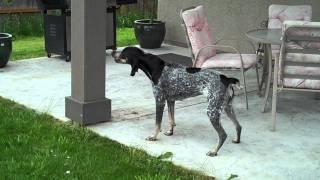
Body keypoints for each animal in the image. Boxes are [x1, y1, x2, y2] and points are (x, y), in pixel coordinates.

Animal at [112, 46, 242, 156]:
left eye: (123, 52)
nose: (113, 52)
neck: (156, 68)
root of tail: (226, 79)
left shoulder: (159, 100)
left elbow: (157, 123)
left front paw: (153, 136)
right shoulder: (170, 101)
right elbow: (171, 119)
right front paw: (170, 132)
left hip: (212, 111)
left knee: (223, 134)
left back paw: (214, 151)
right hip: (227, 107)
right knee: (238, 126)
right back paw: (237, 140)